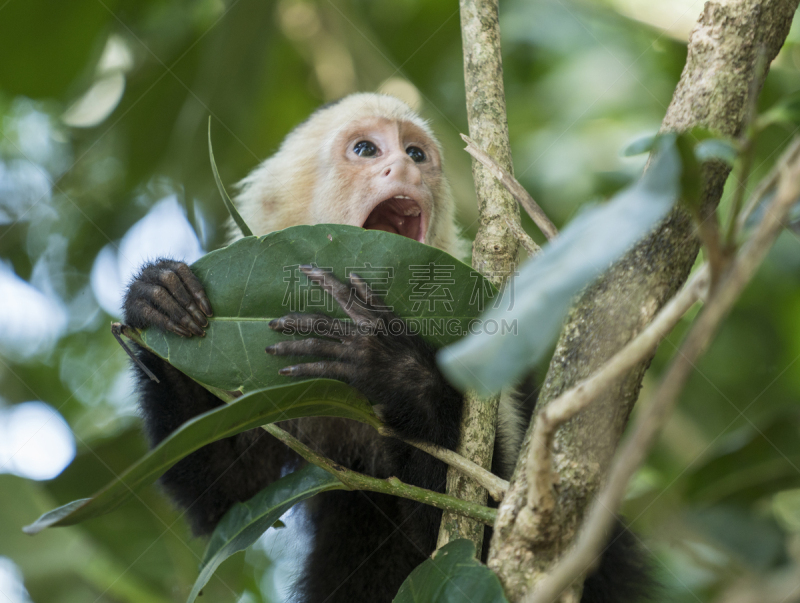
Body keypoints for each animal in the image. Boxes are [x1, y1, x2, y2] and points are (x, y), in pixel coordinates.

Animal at [125, 94, 648, 603]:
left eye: (415, 153)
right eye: (366, 150)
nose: (406, 168)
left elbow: (484, 531)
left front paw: (392, 368)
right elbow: (228, 495)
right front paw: (157, 300)